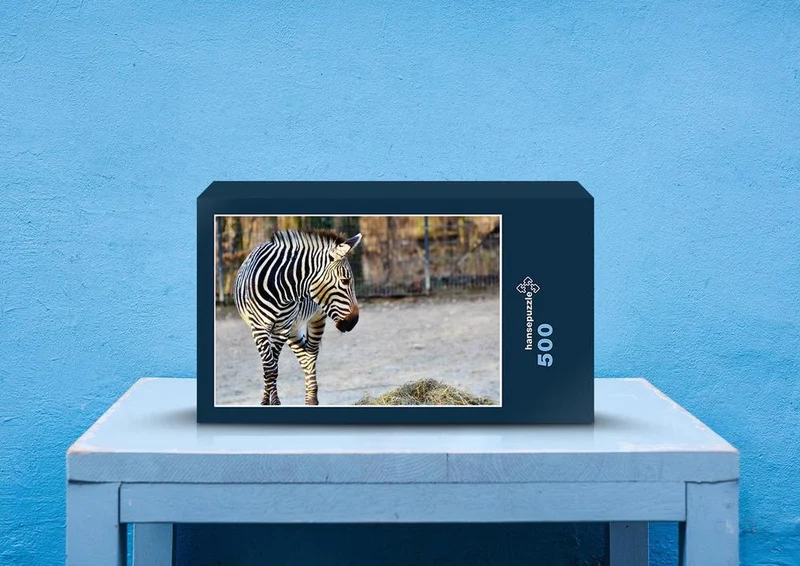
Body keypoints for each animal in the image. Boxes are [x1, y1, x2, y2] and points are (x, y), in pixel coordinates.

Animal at [233, 229, 363, 406]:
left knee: (311, 355)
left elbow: (273, 367)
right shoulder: (259, 328)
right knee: (302, 355)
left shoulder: (282, 328)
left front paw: (274, 402)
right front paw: (268, 401)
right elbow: (269, 367)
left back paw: (311, 399)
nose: (353, 322)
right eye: (345, 281)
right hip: (293, 328)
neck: (280, 288)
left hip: (314, 319)